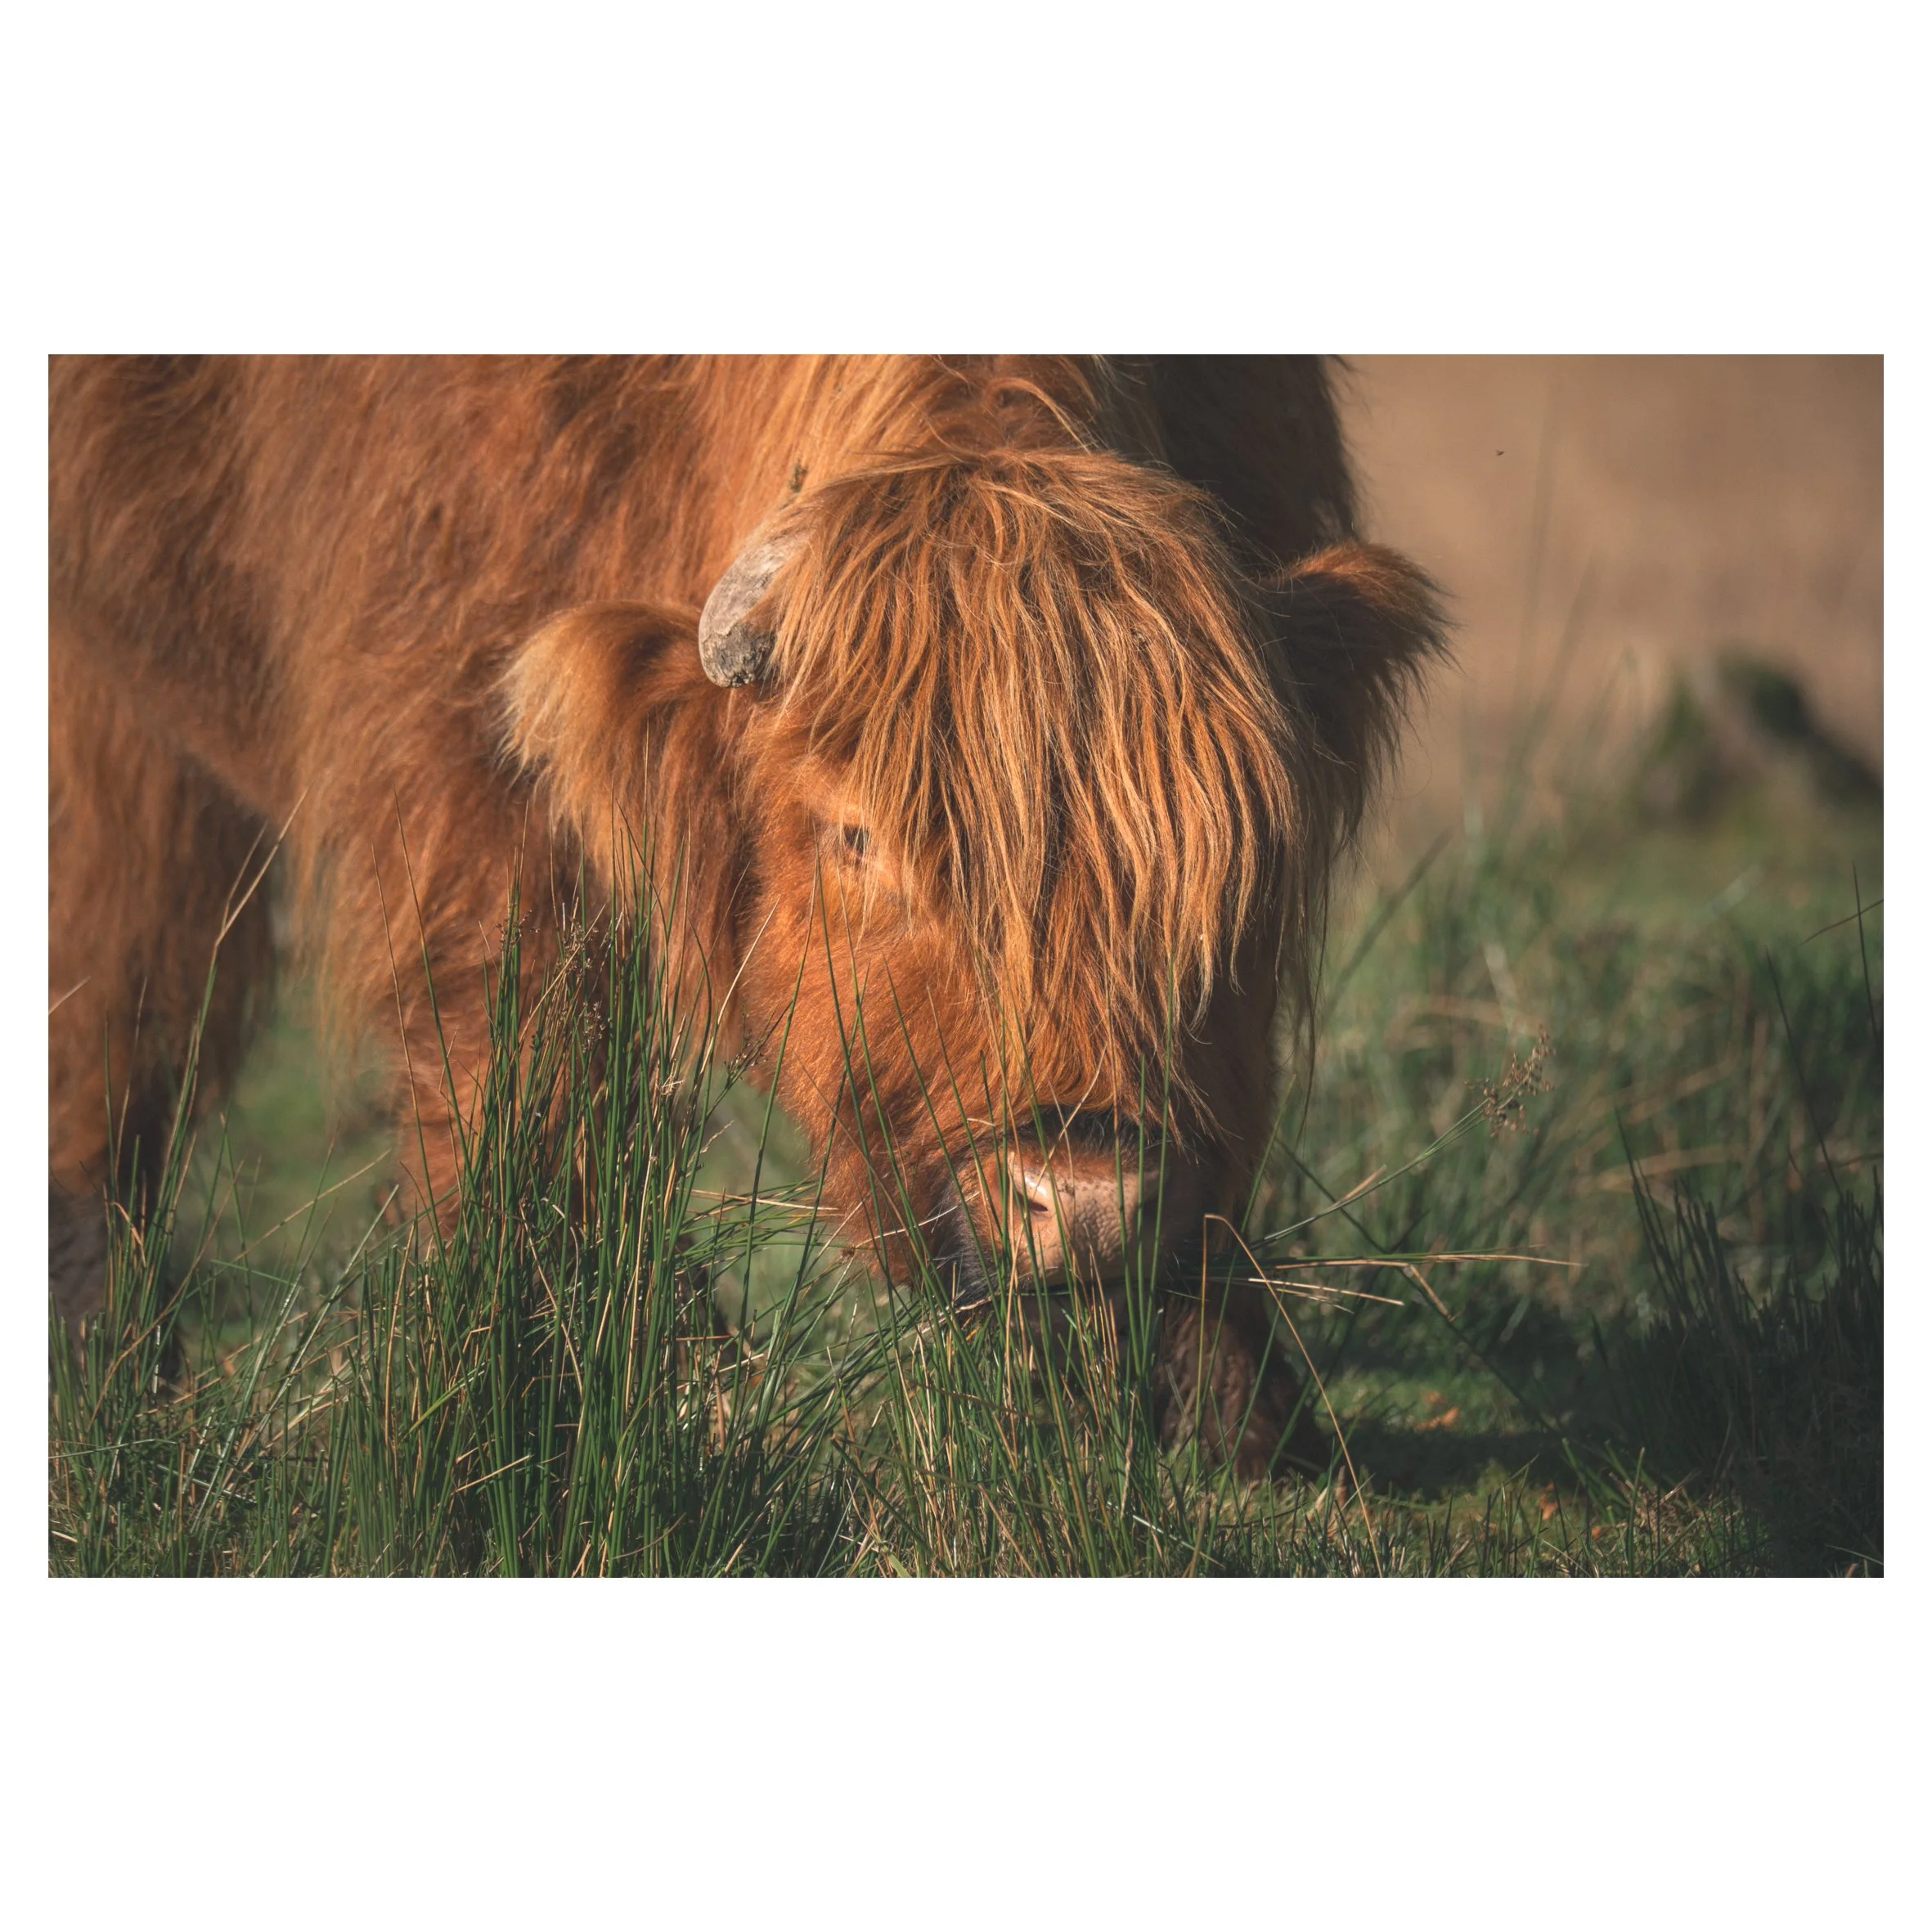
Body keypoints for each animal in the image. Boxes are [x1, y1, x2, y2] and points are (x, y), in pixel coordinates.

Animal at [49, 356, 1444, 1476]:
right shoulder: (454, 757)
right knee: (115, 978)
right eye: (856, 835)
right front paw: (588, 1382)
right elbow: (516, 1055)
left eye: (1235, 843)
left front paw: (1228, 1400)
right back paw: (102, 1343)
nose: (1085, 1195)